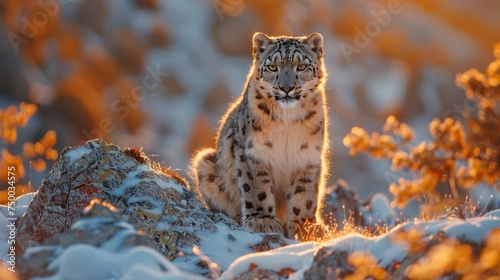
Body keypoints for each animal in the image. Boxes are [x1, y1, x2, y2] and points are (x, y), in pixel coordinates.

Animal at [190, 32, 328, 238]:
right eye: (272, 67)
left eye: (302, 66)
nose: (286, 88)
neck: (287, 120)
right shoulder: (253, 152)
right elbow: (256, 188)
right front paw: (262, 221)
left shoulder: (308, 155)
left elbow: (306, 192)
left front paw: (304, 225)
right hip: (206, 164)